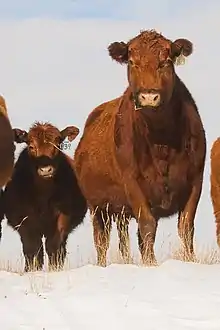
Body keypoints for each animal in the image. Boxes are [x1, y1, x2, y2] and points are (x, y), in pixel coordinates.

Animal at [2, 121, 87, 270]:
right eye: (31, 146)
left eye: (58, 144)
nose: (46, 170)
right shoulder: (24, 220)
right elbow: (33, 249)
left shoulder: (64, 216)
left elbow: (54, 247)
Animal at [73, 29, 206, 266]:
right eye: (132, 62)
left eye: (166, 61)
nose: (149, 96)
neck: (162, 141)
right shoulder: (132, 182)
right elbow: (147, 224)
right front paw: (151, 264)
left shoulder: (195, 179)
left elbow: (186, 226)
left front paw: (190, 260)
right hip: (97, 207)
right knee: (101, 240)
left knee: (125, 239)